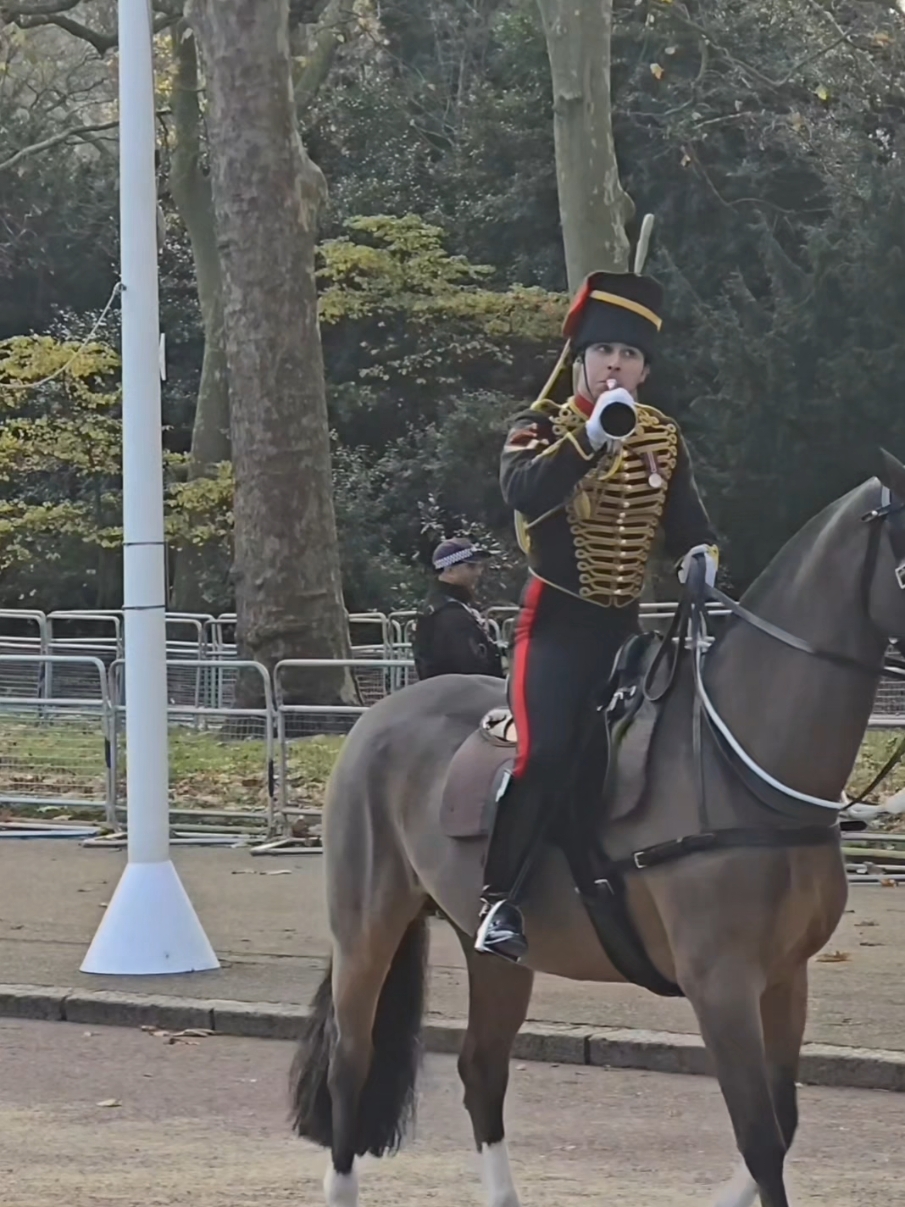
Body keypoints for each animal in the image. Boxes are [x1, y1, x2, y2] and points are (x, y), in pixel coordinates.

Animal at [292, 453, 905, 1207]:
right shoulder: (721, 984)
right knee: (352, 1063)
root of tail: (376, 718)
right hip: (367, 928)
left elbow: (781, 1124)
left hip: (490, 952)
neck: (740, 762)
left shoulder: (785, 977)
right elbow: (760, 1138)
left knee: (481, 1069)